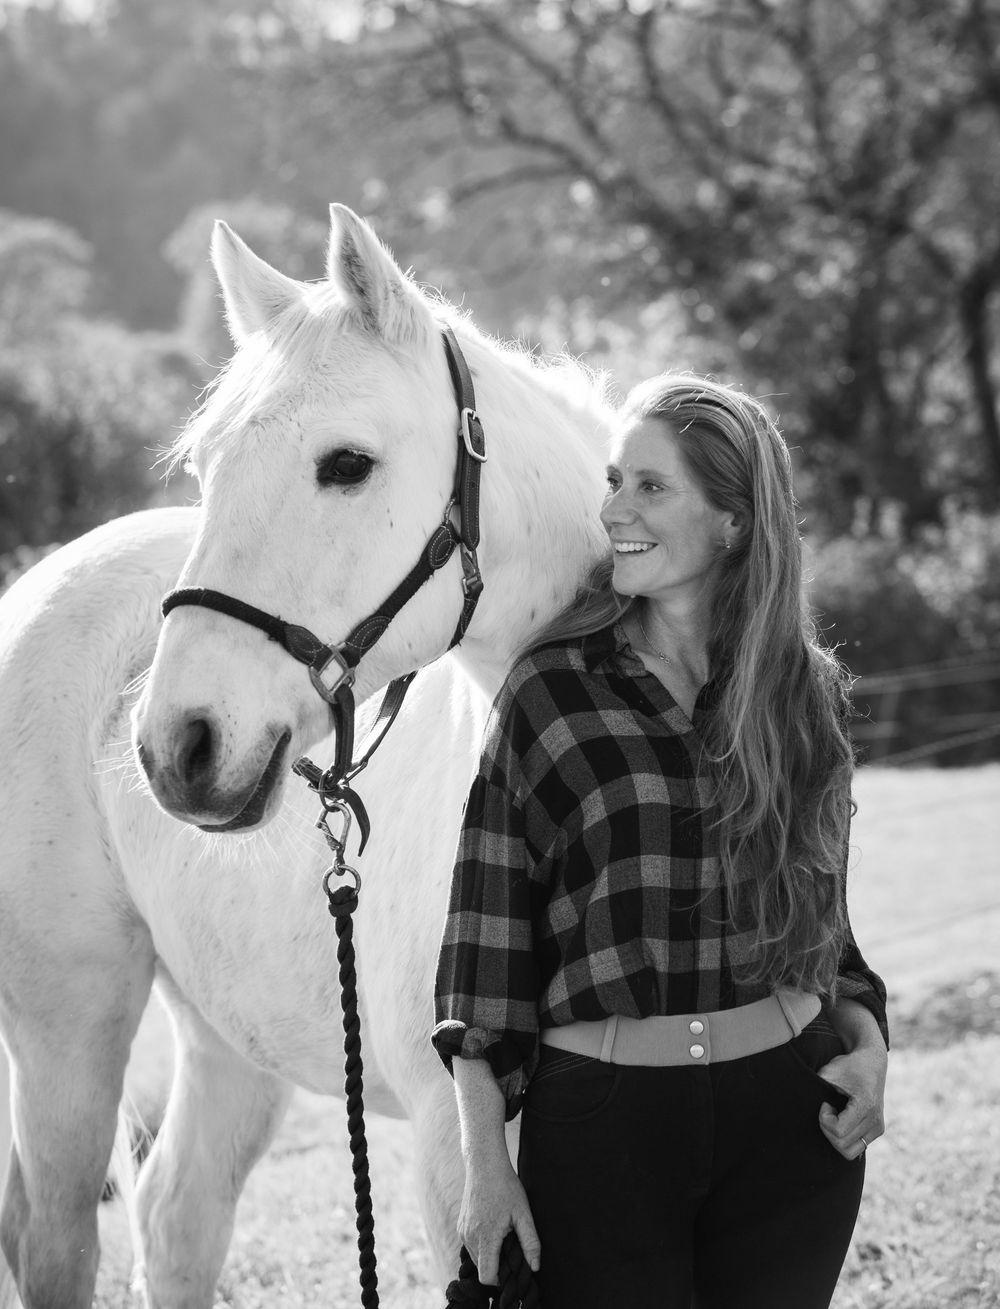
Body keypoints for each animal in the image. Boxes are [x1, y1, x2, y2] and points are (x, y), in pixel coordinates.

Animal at [0, 204, 615, 1308]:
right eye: (206, 470)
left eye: (346, 463)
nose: (175, 743)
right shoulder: (461, 1166)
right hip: (66, 1027)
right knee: (56, 1236)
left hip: (221, 1036)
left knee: (176, 1216)